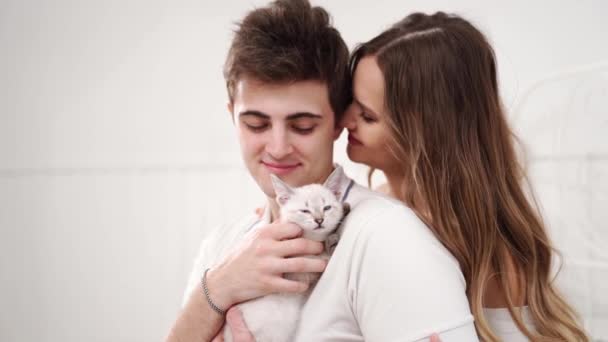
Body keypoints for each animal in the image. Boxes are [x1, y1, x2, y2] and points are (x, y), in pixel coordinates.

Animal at [223, 168, 346, 342]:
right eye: (305, 211)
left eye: (327, 208)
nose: (319, 220)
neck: (312, 239)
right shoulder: (296, 274)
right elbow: (321, 257)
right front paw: (331, 242)